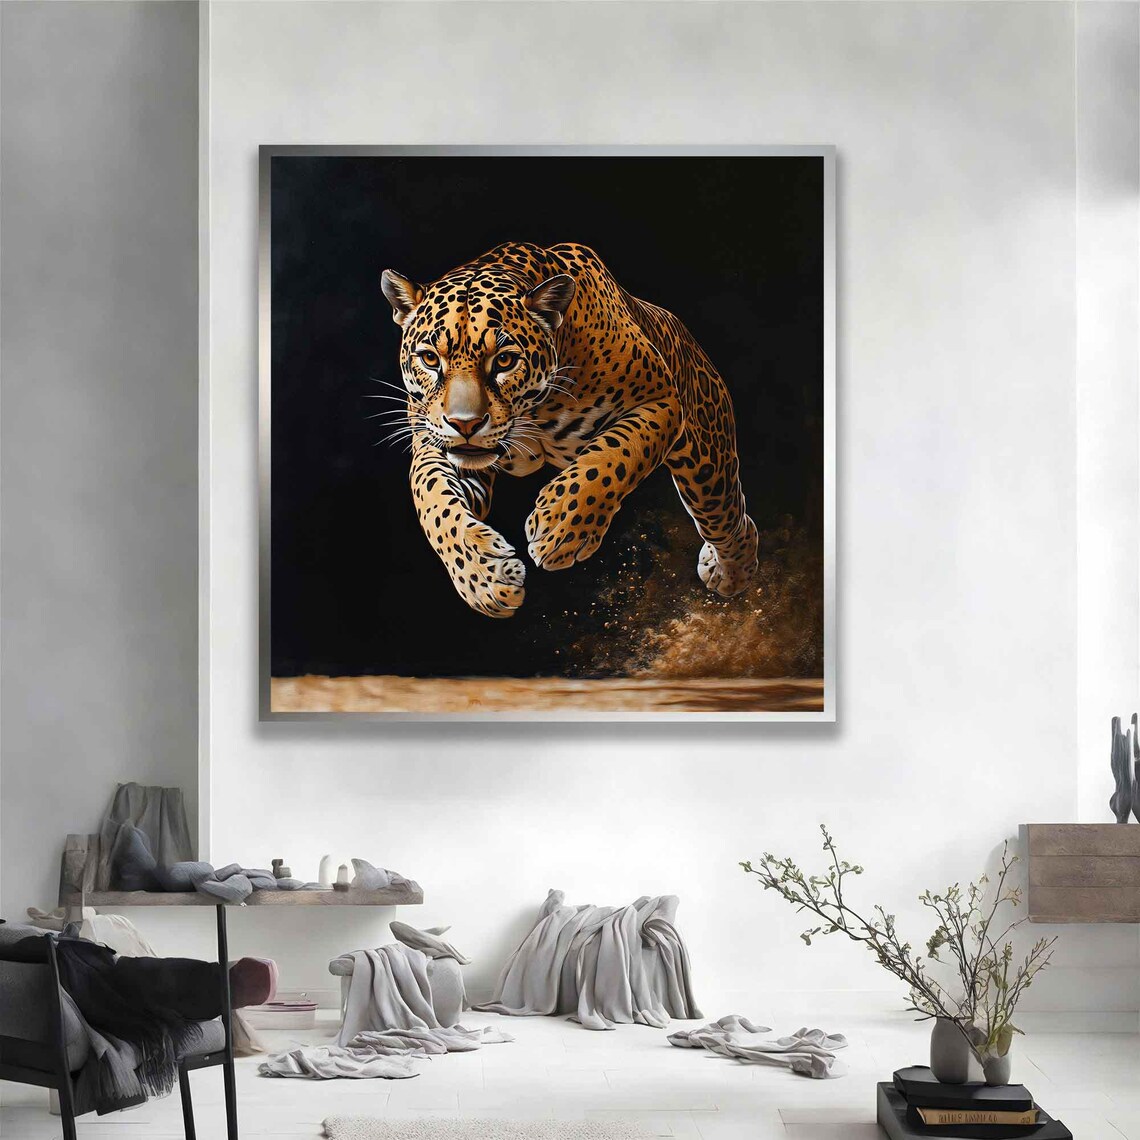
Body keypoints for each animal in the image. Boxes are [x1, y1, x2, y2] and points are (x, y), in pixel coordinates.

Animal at [378, 242, 759, 619]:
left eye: (504, 360)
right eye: (430, 359)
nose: (465, 424)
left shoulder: (660, 400)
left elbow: (612, 456)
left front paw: (559, 528)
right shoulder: (435, 448)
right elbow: (434, 502)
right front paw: (485, 578)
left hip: (707, 464)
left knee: (725, 517)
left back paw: (732, 572)